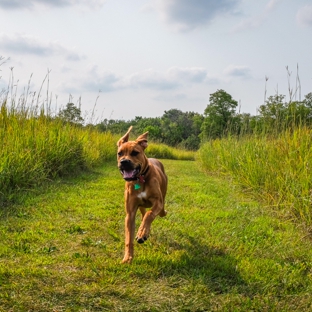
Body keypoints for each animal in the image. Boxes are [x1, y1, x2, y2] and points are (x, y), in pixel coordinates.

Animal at [117, 125, 167, 262]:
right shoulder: (130, 213)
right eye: (119, 153)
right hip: (140, 206)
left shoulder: (158, 201)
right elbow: (129, 237)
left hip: (163, 195)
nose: (124, 162)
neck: (140, 179)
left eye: (135, 152)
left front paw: (142, 233)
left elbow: (150, 214)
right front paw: (127, 257)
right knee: (144, 212)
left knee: (157, 212)